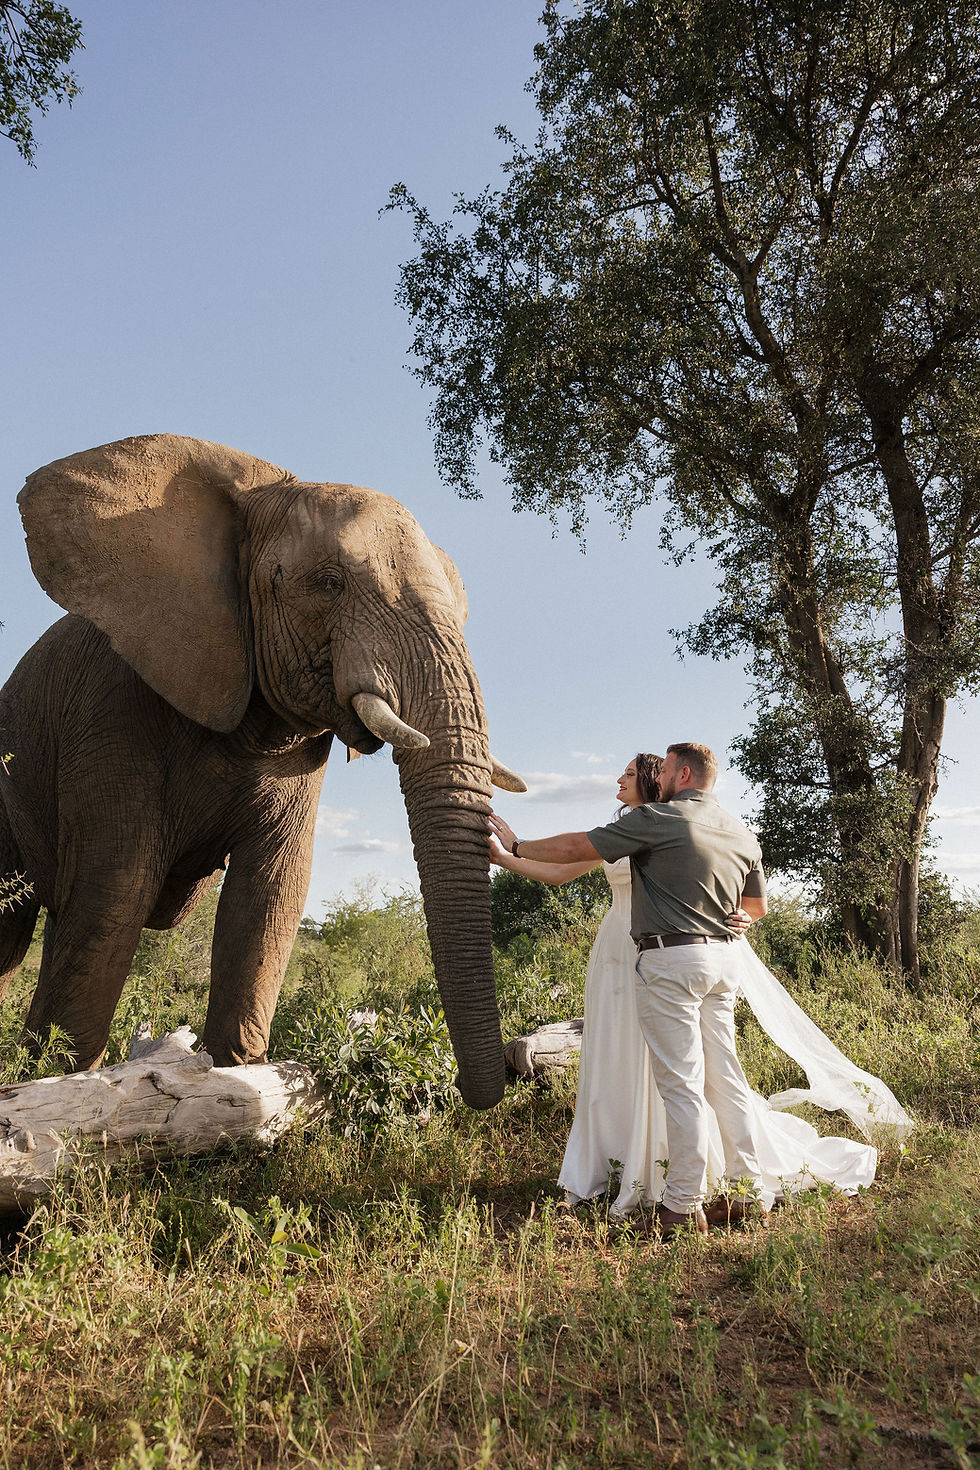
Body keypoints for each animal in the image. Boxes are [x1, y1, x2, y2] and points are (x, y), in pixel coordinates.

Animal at [0, 433, 525, 1109]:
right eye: (327, 584)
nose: (484, 1081)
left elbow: (270, 893)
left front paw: (234, 1081)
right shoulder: (112, 705)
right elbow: (114, 890)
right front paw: (62, 1091)